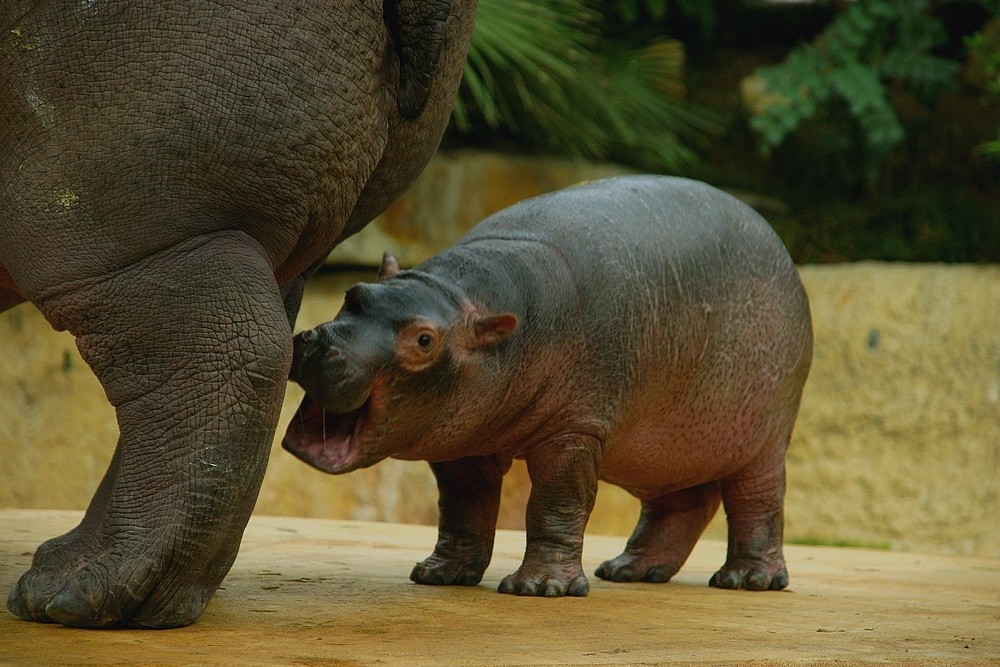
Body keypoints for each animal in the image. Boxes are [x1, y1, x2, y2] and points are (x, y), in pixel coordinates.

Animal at [284, 175, 812, 596]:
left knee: (758, 500)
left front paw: (539, 587)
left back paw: (748, 580)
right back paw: (629, 570)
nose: (319, 342)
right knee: (682, 502)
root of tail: (782, 249)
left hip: (765, 434)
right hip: (667, 445)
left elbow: (556, 504)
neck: (459, 298)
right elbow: (462, 508)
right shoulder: (462, 442)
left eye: (424, 339)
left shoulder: (573, 431)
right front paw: (440, 575)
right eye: (355, 294)